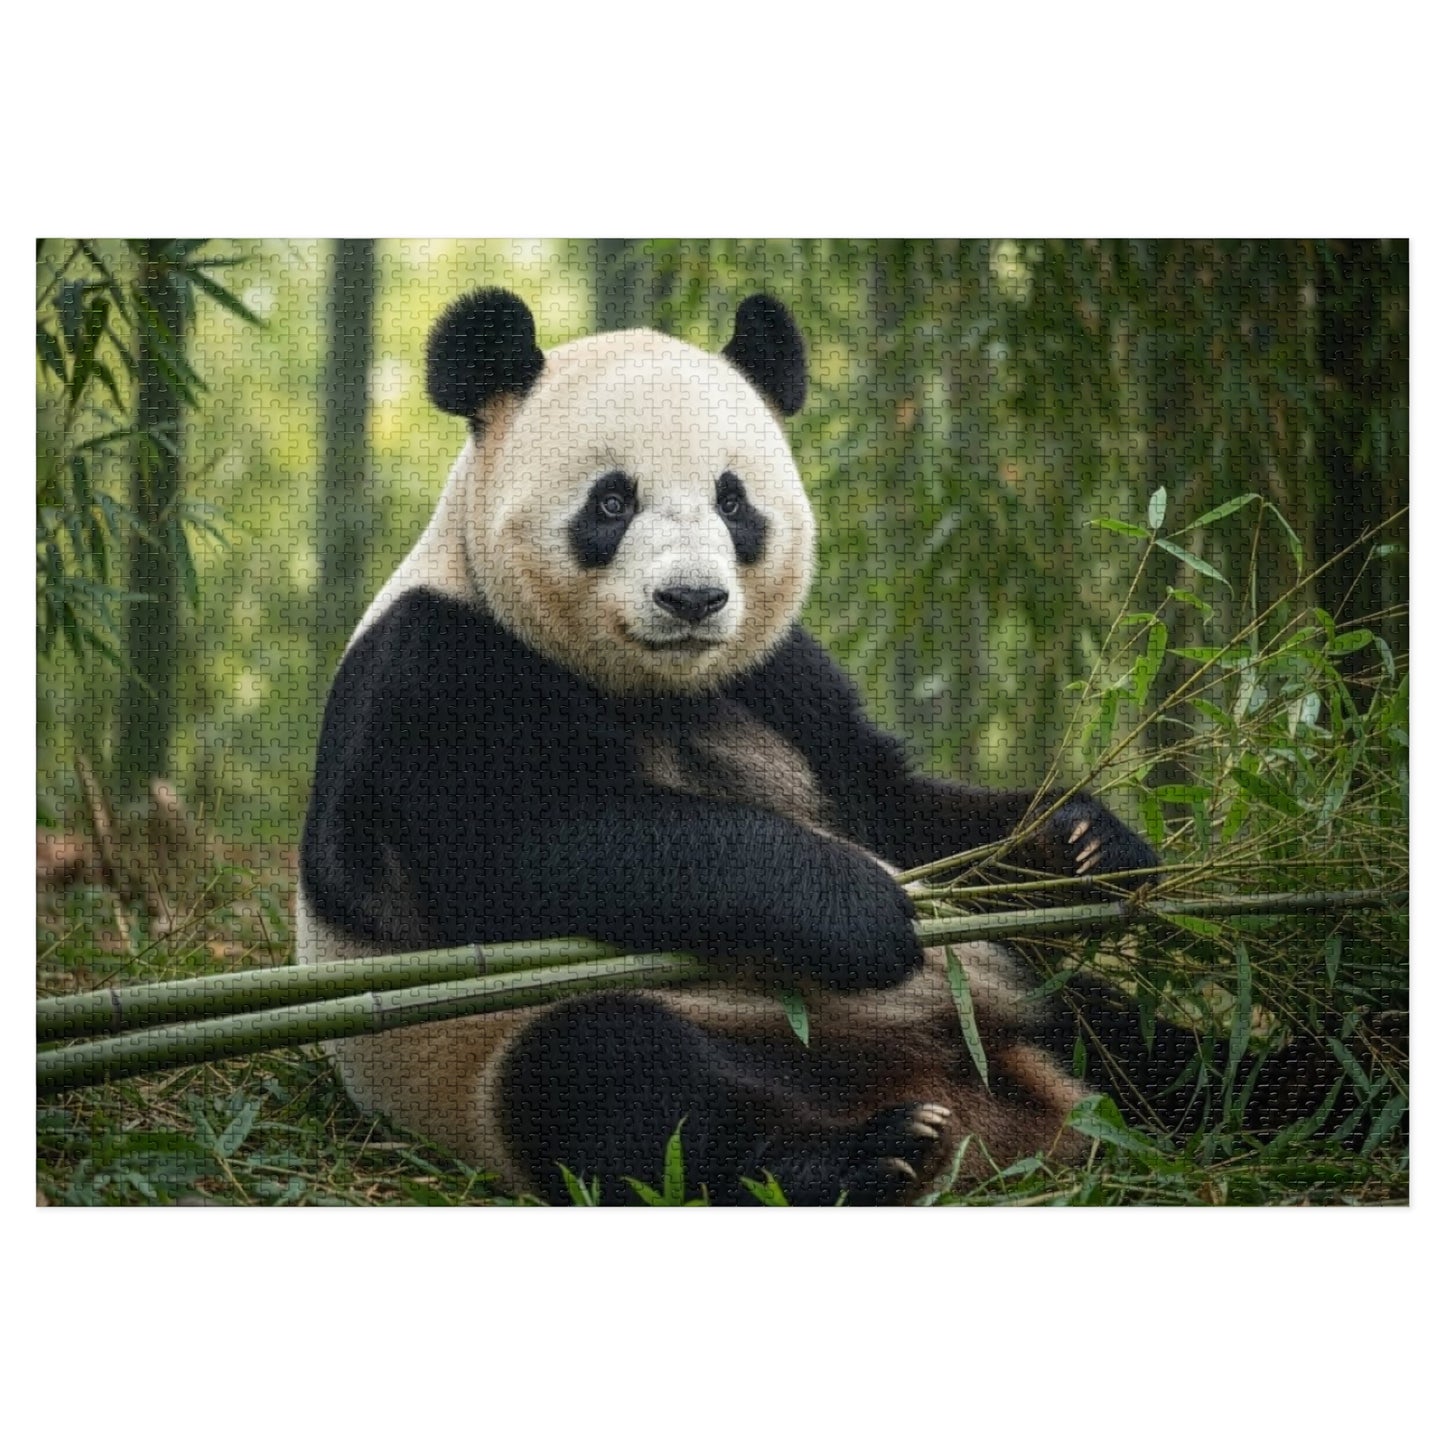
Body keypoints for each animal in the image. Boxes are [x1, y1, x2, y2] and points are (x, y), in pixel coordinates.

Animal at [296, 290, 1328, 1204]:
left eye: (733, 501)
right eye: (611, 501)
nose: (692, 599)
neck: (652, 684)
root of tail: (998, 1112)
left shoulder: (781, 678)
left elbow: (895, 804)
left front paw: (1082, 842)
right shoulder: (434, 665)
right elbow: (531, 843)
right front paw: (857, 907)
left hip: (1018, 1002)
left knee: (1147, 1045)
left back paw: (1311, 1080)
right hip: (493, 1051)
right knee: (616, 1082)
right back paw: (868, 1156)